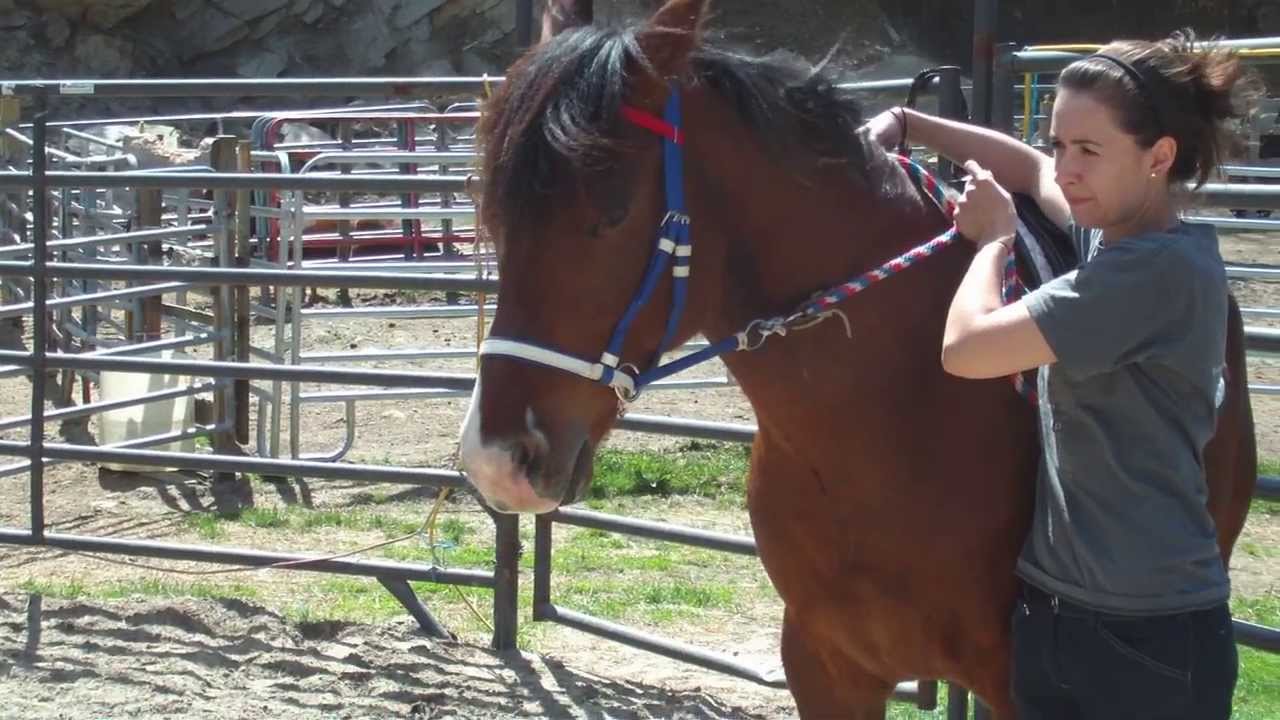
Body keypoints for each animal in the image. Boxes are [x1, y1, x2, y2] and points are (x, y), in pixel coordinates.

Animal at [456, 1, 1258, 716]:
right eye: (495, 214)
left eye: (612, 213)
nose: (496, 460)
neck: (897, 418)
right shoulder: (826, 666)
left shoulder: (1014, 684)